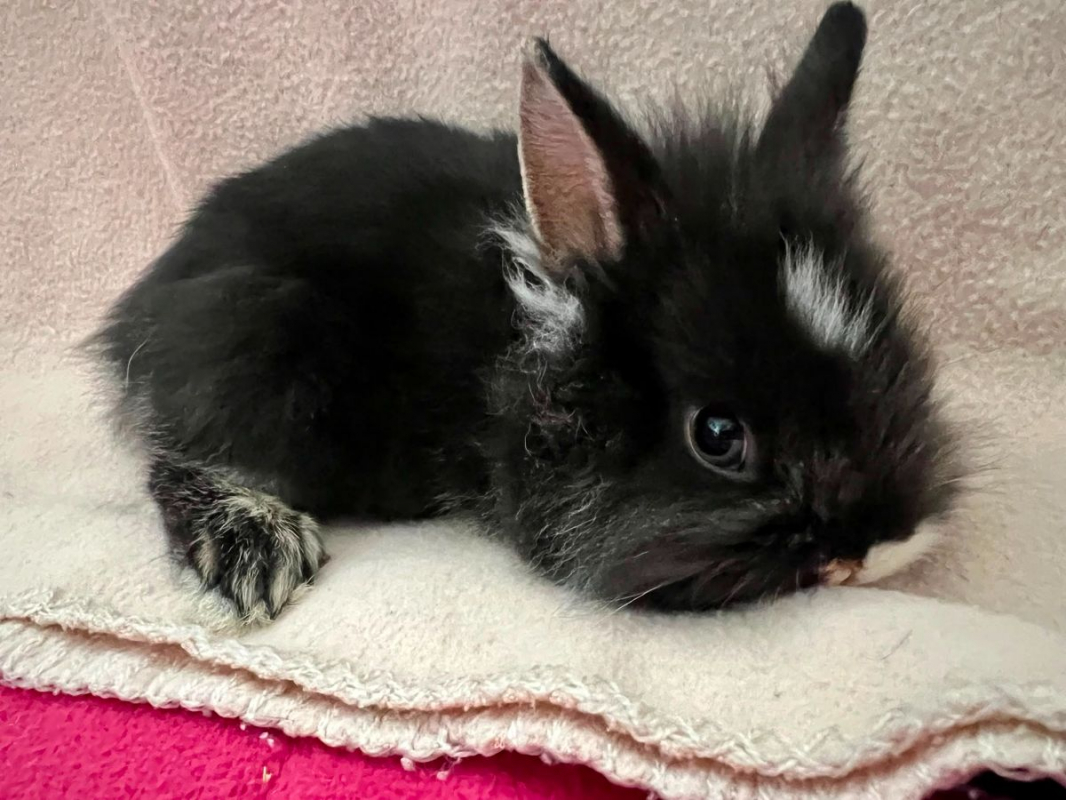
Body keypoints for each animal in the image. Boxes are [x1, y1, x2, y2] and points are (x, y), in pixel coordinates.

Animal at [92, 2, 959, 622]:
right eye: (717, 436)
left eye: (900, 373)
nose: (875, 549)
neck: (524, 352)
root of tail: (147, 298)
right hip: (258, 350)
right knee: (177, 458)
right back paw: (256, 548)